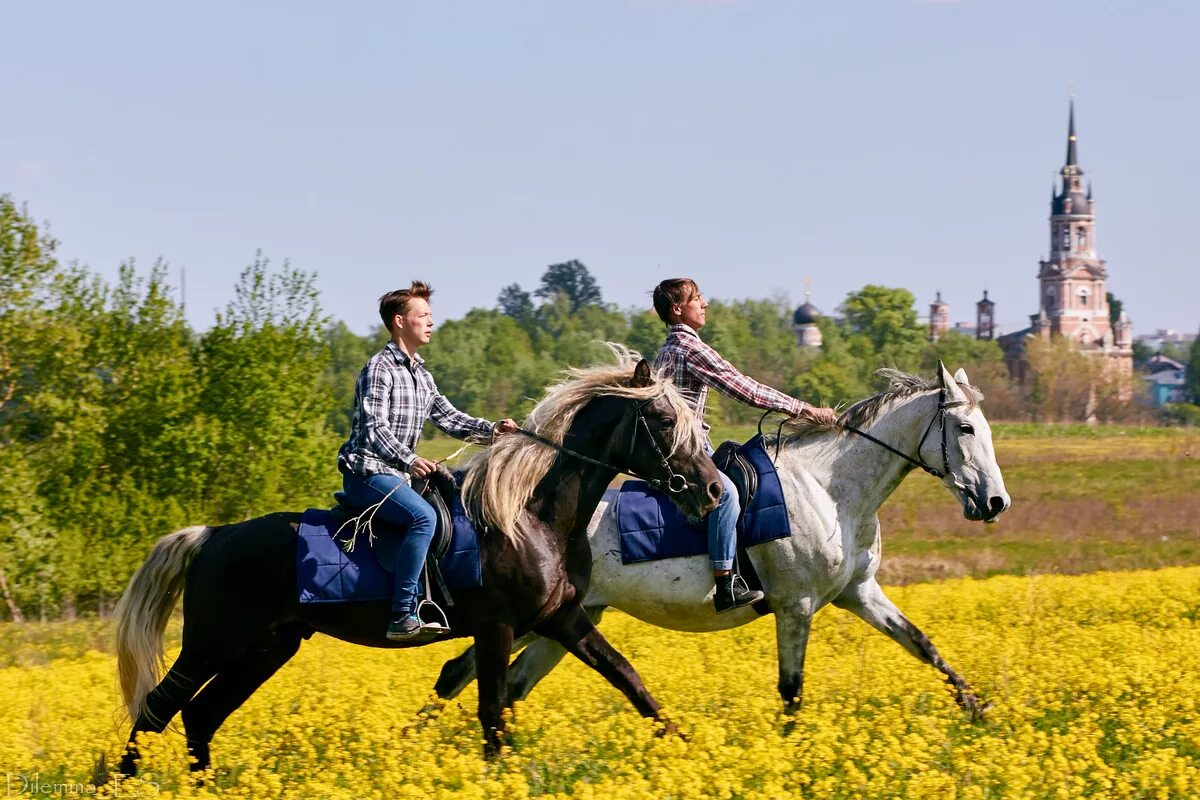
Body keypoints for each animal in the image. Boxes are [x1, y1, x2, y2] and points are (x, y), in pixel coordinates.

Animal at [114, 352, 720, 777]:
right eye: (663, 419)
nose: (713, 490)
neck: (530, 514)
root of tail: (213, 537)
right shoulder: (497, 629)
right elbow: (492, 713)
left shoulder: (563, 617)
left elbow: (629, 679)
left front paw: (690, 751)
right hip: (212, 642)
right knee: (156, 710)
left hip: (267, 647)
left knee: (200, 715)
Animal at [436, 367, 1008, 714]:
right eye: (965, 429)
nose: (995, 503)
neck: (829, 489)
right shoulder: (796, 606)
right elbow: (791, 691)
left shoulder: (860, 593)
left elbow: (925, 647)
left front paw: (977, 711)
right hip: (532, 620)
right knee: (460, 671)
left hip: (568, 620)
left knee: (502, 682)